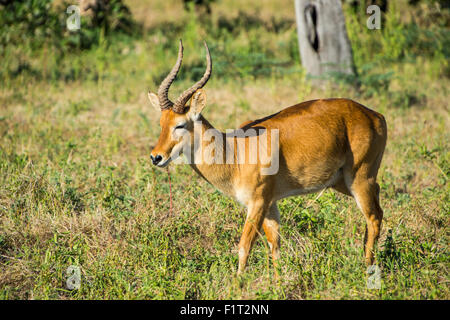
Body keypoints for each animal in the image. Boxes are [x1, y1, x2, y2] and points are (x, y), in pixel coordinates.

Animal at [147, 40, 386, 276]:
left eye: (180, 125)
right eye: (161, 123)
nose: (156, 157)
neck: (235, 154)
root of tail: (375, 115)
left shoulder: (257, 203)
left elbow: (244, 246)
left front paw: (238, 282)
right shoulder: (271, 204)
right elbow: (275, 247)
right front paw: (279, 282)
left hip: (359, 178)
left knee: (373, 216)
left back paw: (367, 270)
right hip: (342, 181)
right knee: (377, 206)